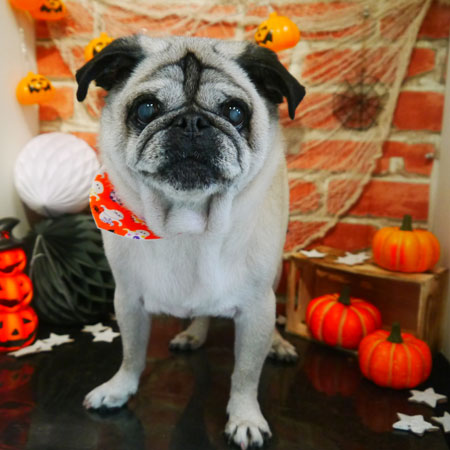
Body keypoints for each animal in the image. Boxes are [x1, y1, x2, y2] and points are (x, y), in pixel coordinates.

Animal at [76, 35, 305, 449]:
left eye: (234, 112)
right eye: (146, 108)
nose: (192, 121)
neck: (188, 225)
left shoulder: (257, 309)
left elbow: (246, 373)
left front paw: (245, 417)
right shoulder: (127, 299)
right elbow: (132, 353)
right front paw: (119, 389)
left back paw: (278, 343)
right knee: (201, 311)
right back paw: (193, 333)